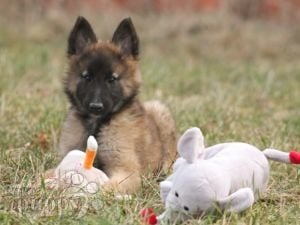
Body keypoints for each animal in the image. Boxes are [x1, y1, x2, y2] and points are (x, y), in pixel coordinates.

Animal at [58, 17, 176, 193]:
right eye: (87, 77)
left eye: (111, 79)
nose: (96, 107)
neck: (97, 124)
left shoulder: (126, 171)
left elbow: (105, 188)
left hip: (161, 112)